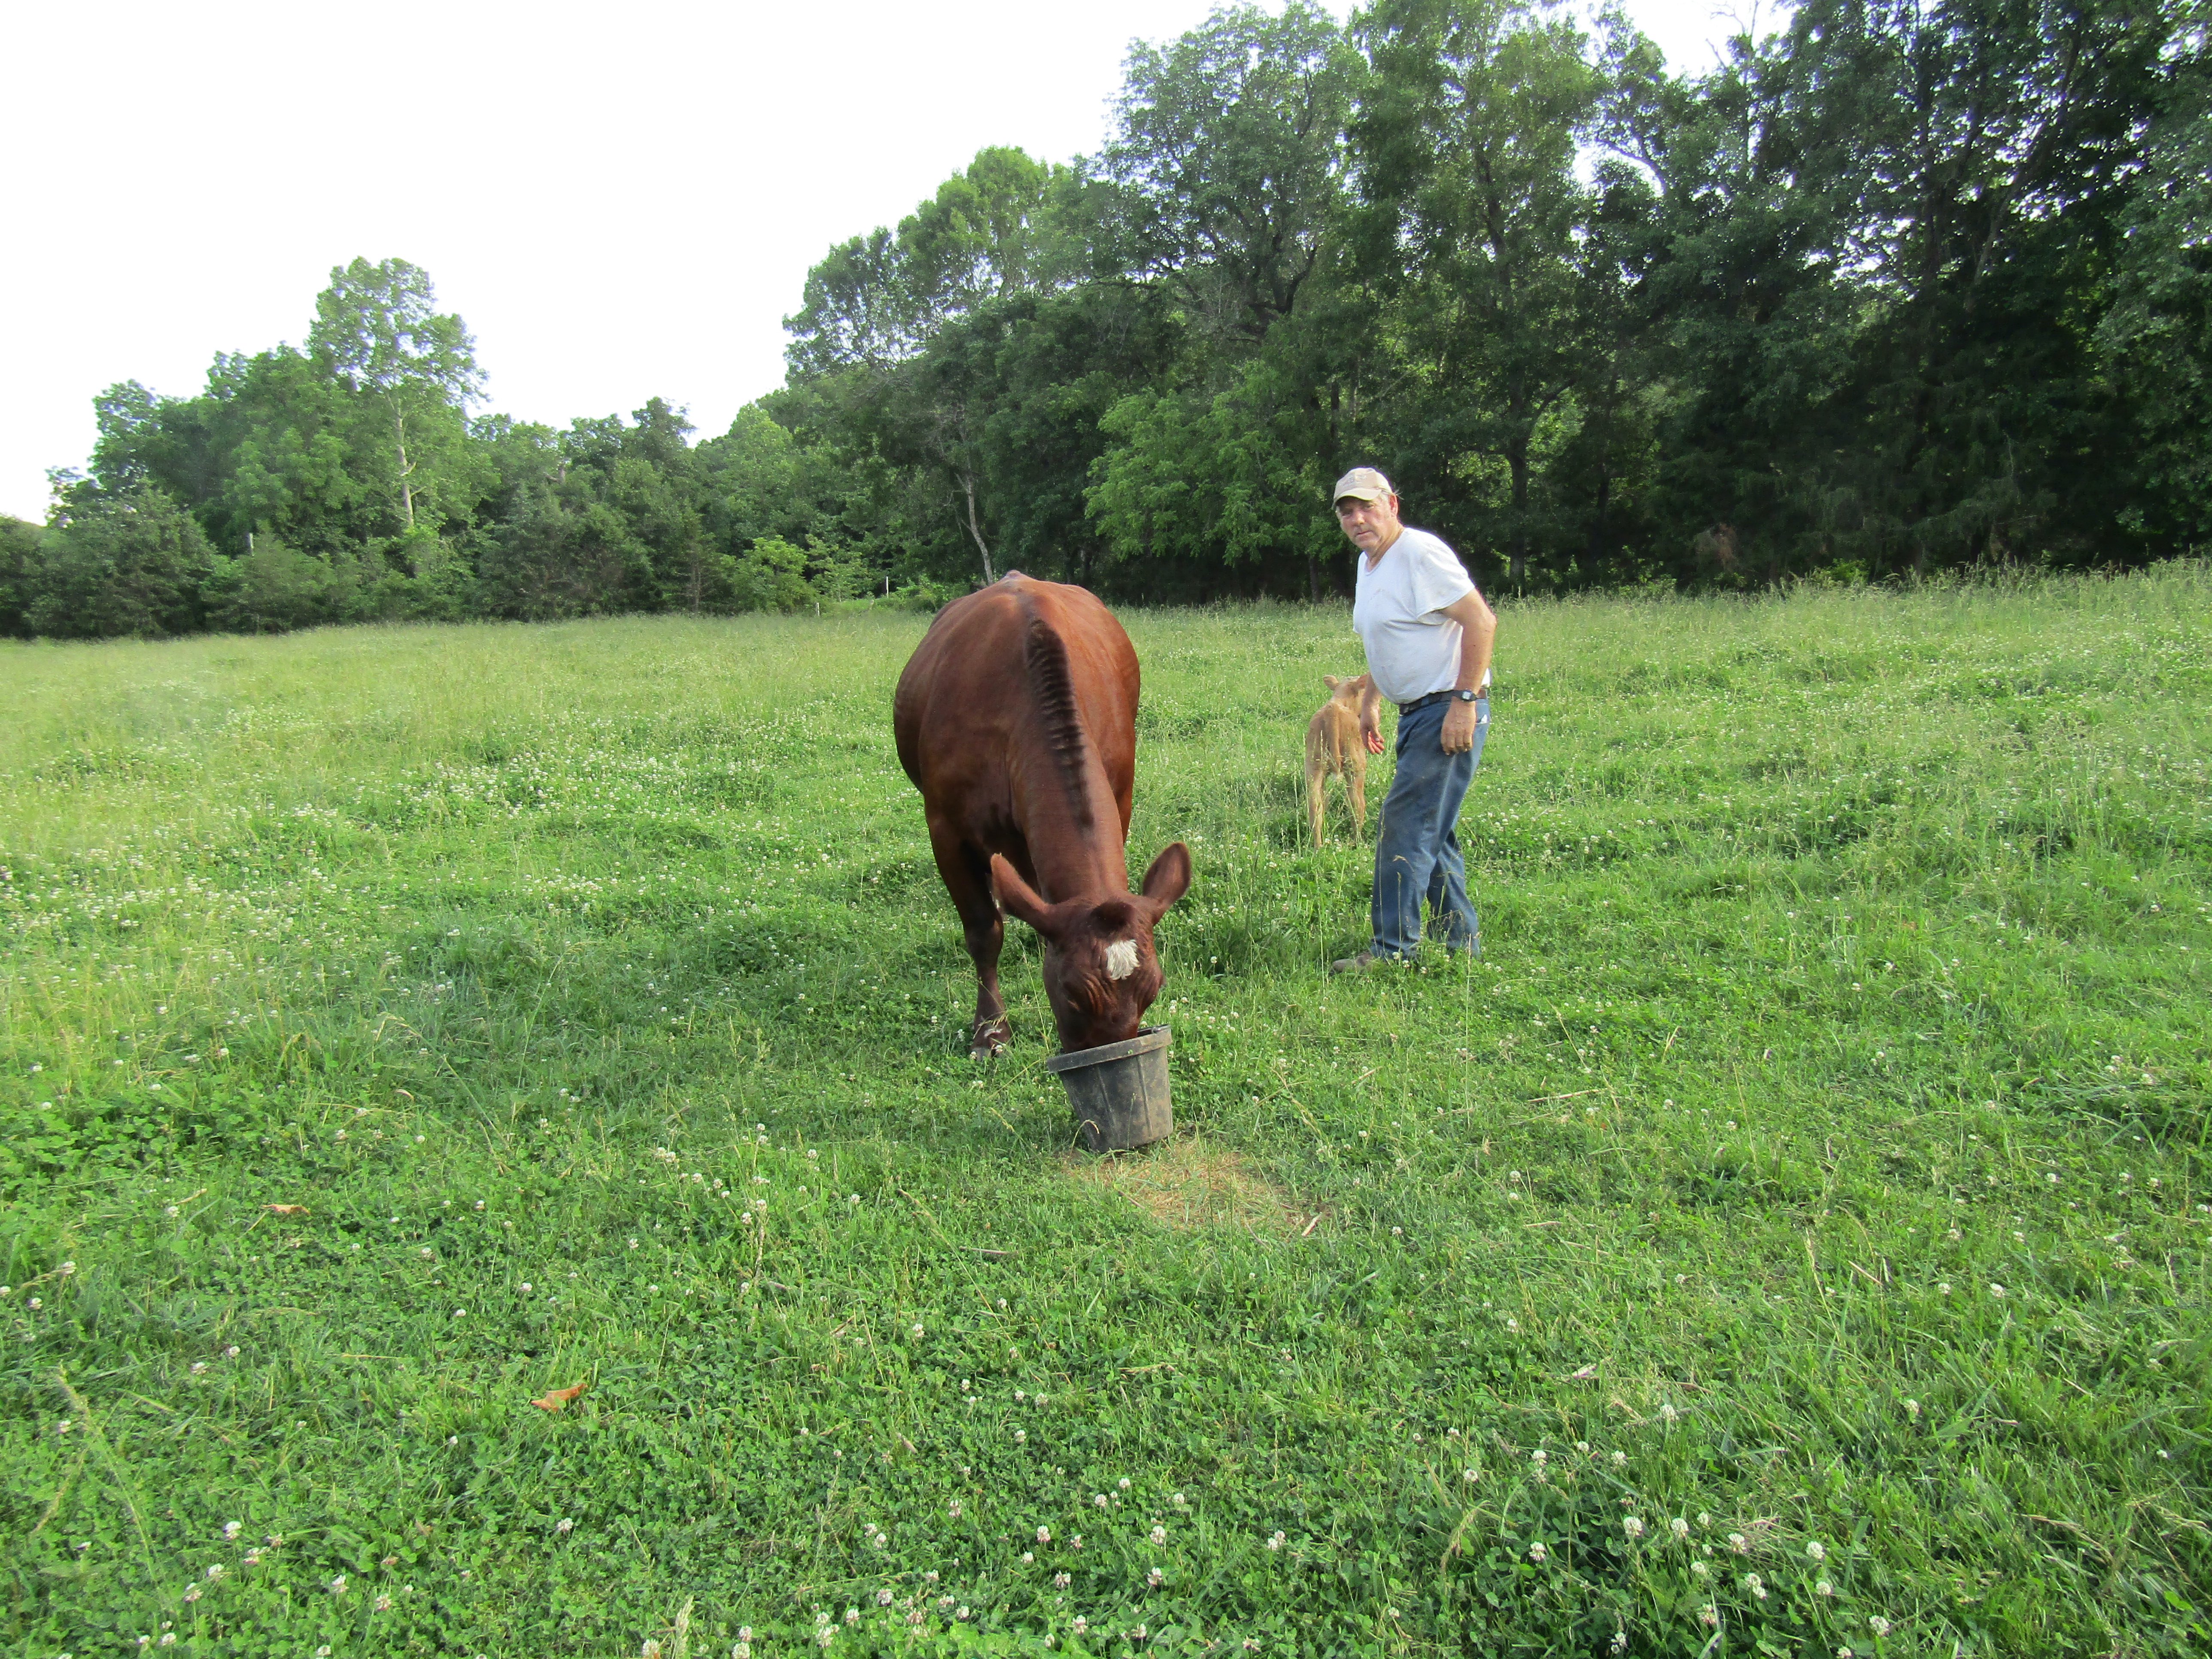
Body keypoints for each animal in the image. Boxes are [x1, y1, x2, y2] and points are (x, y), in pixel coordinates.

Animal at [893, 573, 1191, 1059]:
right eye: (1071, 994)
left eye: (1153, 989)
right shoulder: (944, 828)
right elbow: (983, 929)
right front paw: (991, 1031)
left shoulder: (1121, 796)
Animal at [1305, 674, 1373, 845]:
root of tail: (1332, 712)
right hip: (1355, 767)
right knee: (1356, 803)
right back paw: (1357, 843)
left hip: (1314, 766)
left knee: (1315, 806)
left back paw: (1318, 846)